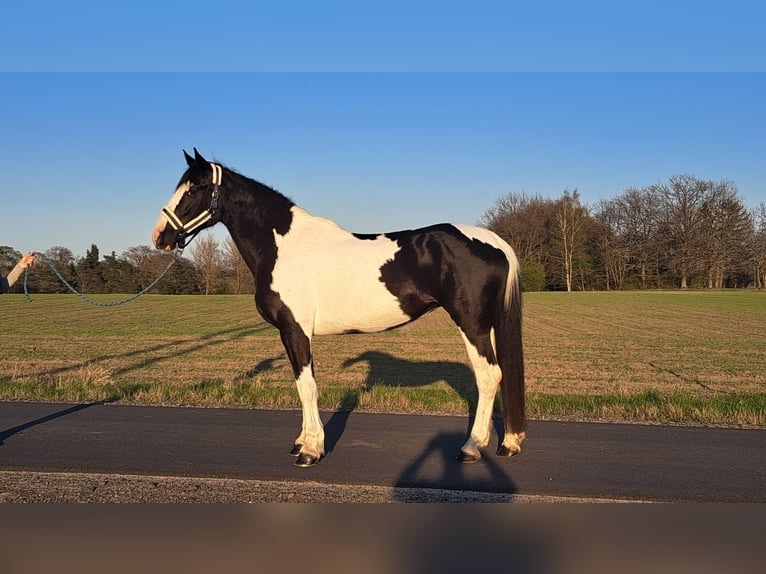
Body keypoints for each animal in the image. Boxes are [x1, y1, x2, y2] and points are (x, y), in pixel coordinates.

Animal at [153, 149, 526, 468]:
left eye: (194, 189)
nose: (160, 237)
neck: (282, 246)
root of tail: (494, 241)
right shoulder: (291, 334)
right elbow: (301, 383)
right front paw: (301, 441)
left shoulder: (295, 330)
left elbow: (307, 386)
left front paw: (311, 450)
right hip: (489, 325)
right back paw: (506, 442)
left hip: (472, 325)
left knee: (489, 376)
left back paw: (470, 448)